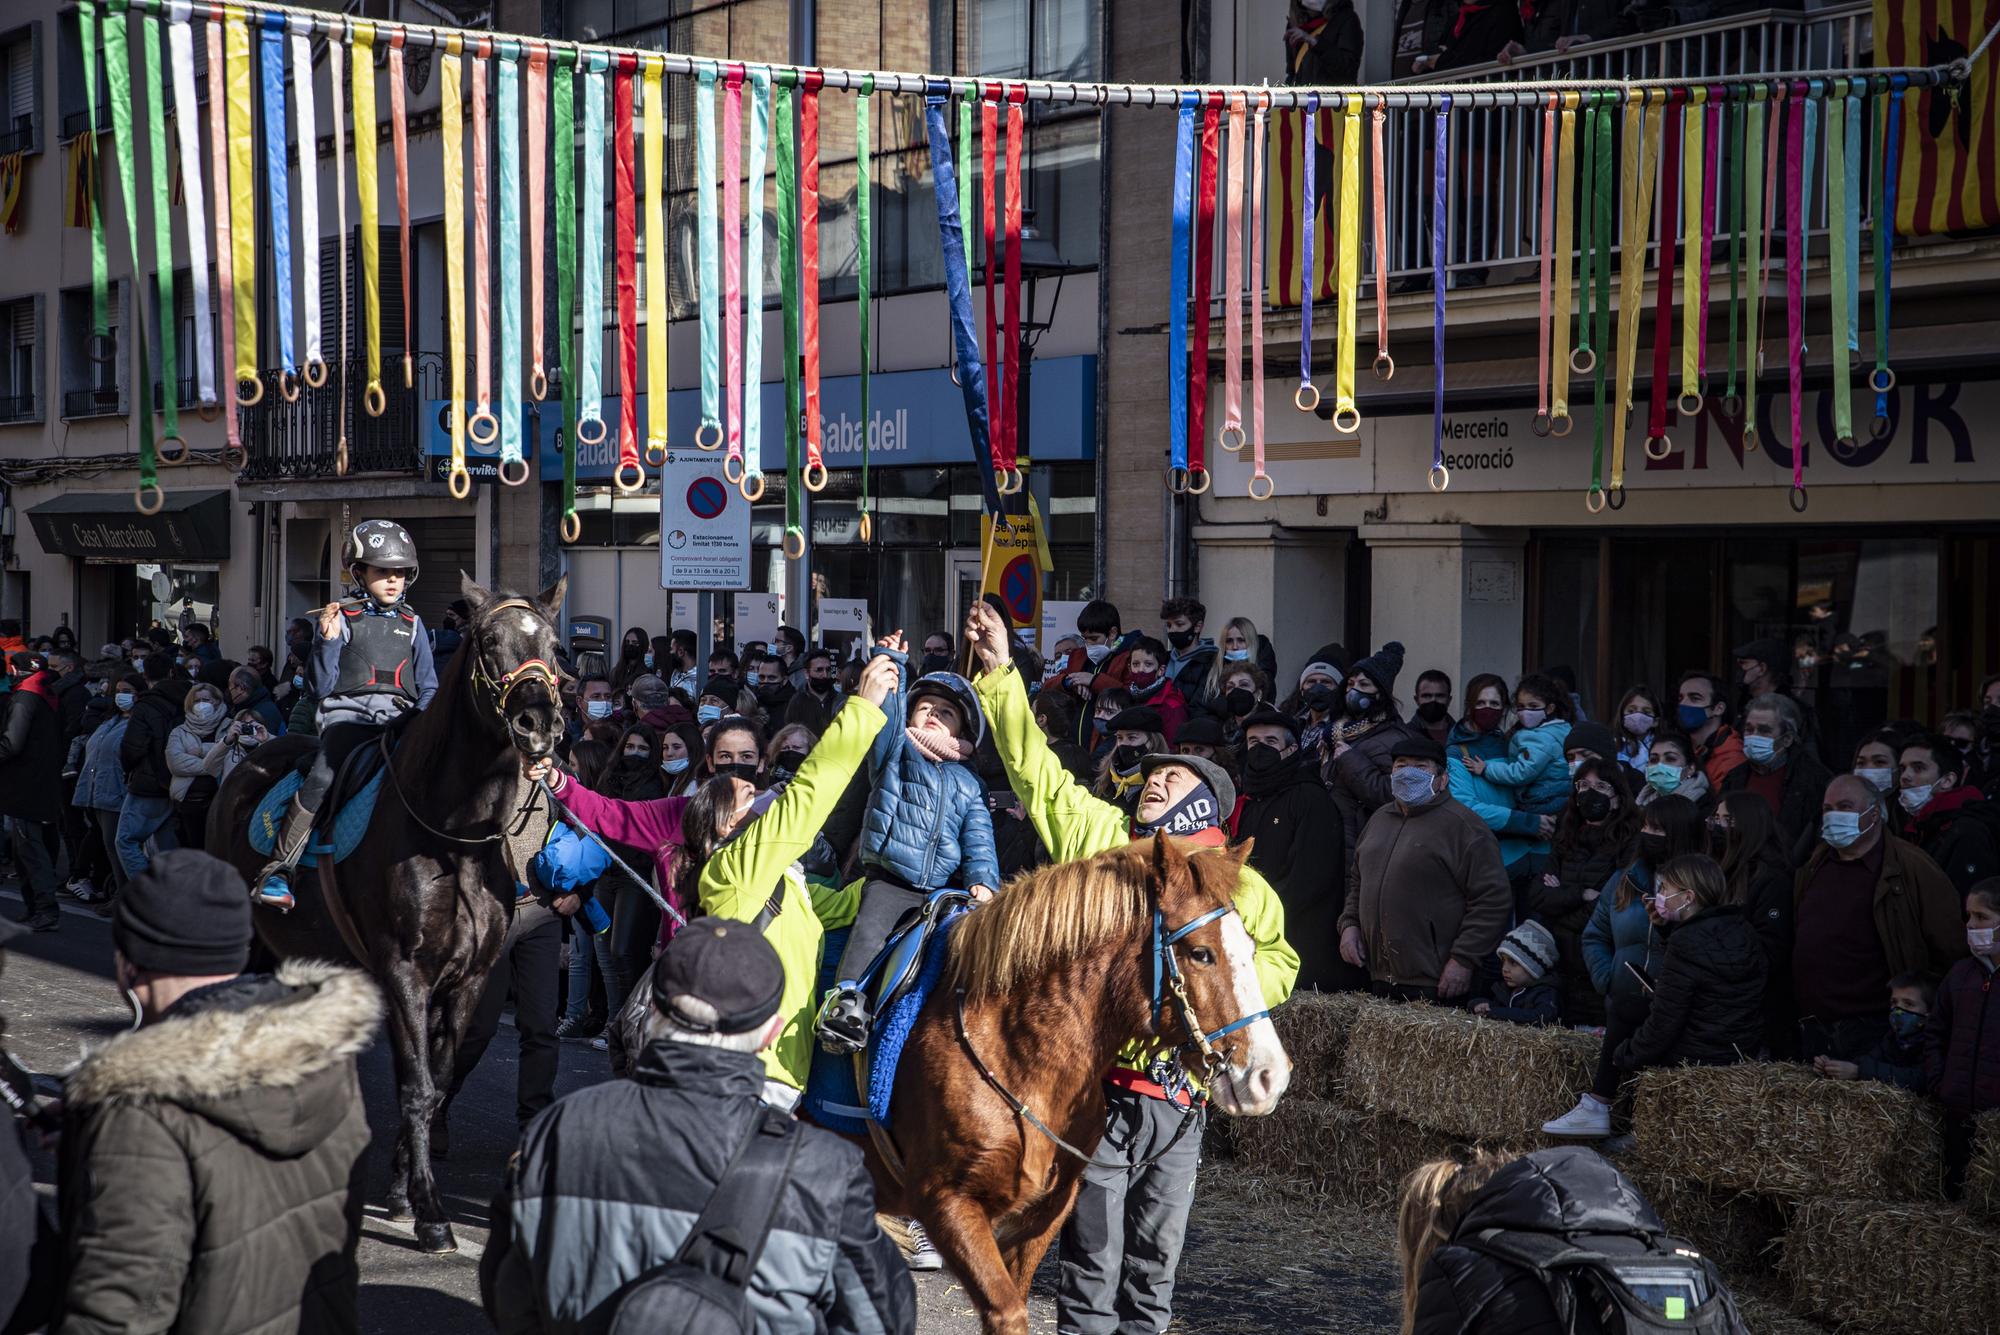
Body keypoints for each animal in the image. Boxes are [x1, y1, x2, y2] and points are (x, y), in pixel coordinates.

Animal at [210, 575, 568, 1255]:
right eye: (489, 641)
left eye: (555, 646)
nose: (538, 721)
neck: (456, 836)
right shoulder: (404, 974)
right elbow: (418, 1085)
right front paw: (431, 1213)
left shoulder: (467, 981)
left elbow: (438, 1079)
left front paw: (404, 1189)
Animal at [868, 839, 1288, 1327]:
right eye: (1201, 953)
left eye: (1252, 949)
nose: (1270, 1075)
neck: (1017, 1052)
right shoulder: (945, 1203)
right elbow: (1007, 1312)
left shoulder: (1045, 1211)